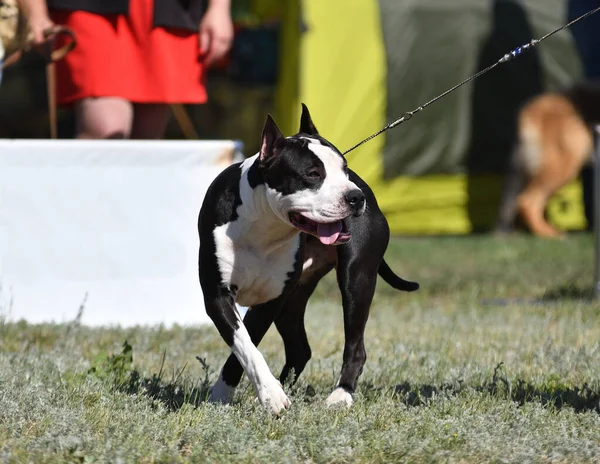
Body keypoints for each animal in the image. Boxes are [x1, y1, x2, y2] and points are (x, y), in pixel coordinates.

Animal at [197, 104, 418, 414]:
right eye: (313, 174)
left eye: (344, 169)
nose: (355, 197)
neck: (263, 224)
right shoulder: (218, 295)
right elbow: (244, 345)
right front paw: (233, 395)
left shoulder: (270, 301)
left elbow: (246, 347)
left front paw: (265, 395)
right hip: (294, 299)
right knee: (300, 349)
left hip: (356, 280)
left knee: (355, 347)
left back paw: (341, 395)